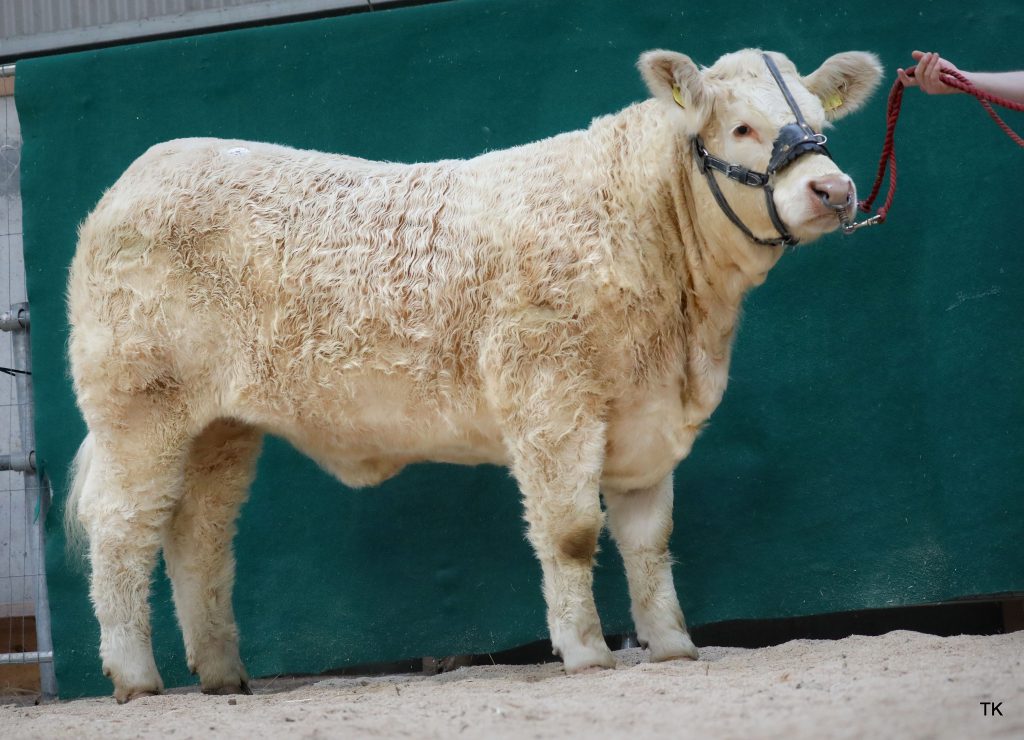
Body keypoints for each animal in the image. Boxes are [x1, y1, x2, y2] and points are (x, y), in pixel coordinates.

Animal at [65, 47, 882, 702]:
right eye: (741, 128)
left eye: (822, 122)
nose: (835, 190)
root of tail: (147, 169)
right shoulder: (552, 401)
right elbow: (572, 533)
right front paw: (587, 653)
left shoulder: (646, 420)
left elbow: (649, 540)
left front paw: (673, 646)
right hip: (138, 406)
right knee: (122, 529)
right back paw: (135, 676)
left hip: (221, 427)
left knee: (199, 536)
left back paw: (223, 674)